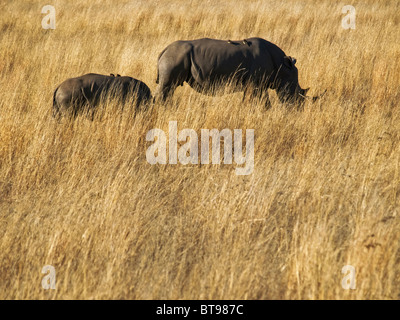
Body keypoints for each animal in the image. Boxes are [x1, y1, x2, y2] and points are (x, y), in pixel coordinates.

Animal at [155, 36, 320, 106]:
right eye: (295, 91)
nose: (296, 109)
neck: (282, 66)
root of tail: (164, 50)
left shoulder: (252, 84)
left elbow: (249, 100)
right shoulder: (256, 84)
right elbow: (264, 102)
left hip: (174, 57)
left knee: (169, 89)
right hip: (173, 58)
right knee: (167, 87)